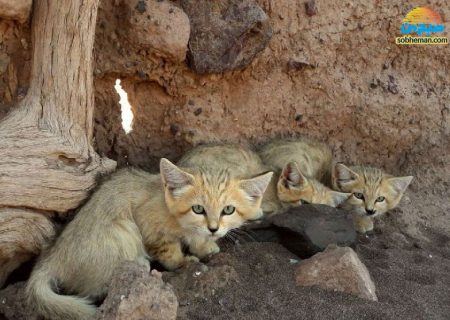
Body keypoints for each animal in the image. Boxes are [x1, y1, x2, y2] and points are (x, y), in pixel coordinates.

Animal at [26, 159, 272, 318]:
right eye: (198, 209)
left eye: (228, 210)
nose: (213, 228)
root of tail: (53, 255)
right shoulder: (147, 223)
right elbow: (168, 250)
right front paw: (184, 262)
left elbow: (197, 239)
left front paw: (206, 246)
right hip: (124, 231)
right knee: (92, 289)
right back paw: (139, 265)